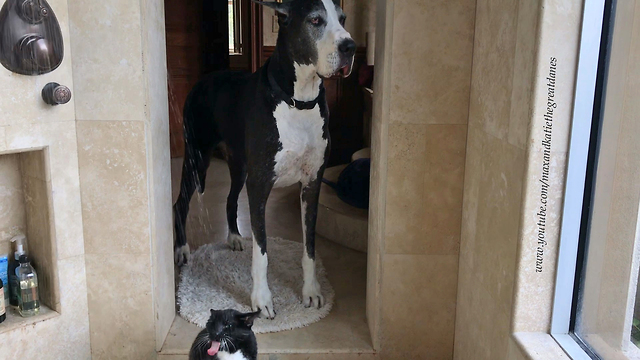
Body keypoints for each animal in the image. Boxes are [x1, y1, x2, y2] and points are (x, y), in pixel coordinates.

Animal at [172, 0, 358, 320]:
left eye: (343, 19)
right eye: (315, 20)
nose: (350, 47)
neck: (298, 100)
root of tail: (203, 80)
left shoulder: (312, 183)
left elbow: (309, 247)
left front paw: (311, 291)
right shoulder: (260, 184)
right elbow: (262, 252)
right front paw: (261, 300)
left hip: (239, 166)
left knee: (230, 198)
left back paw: (235, 237)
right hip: (198, 159)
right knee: (180, 203)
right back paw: (182, 249)